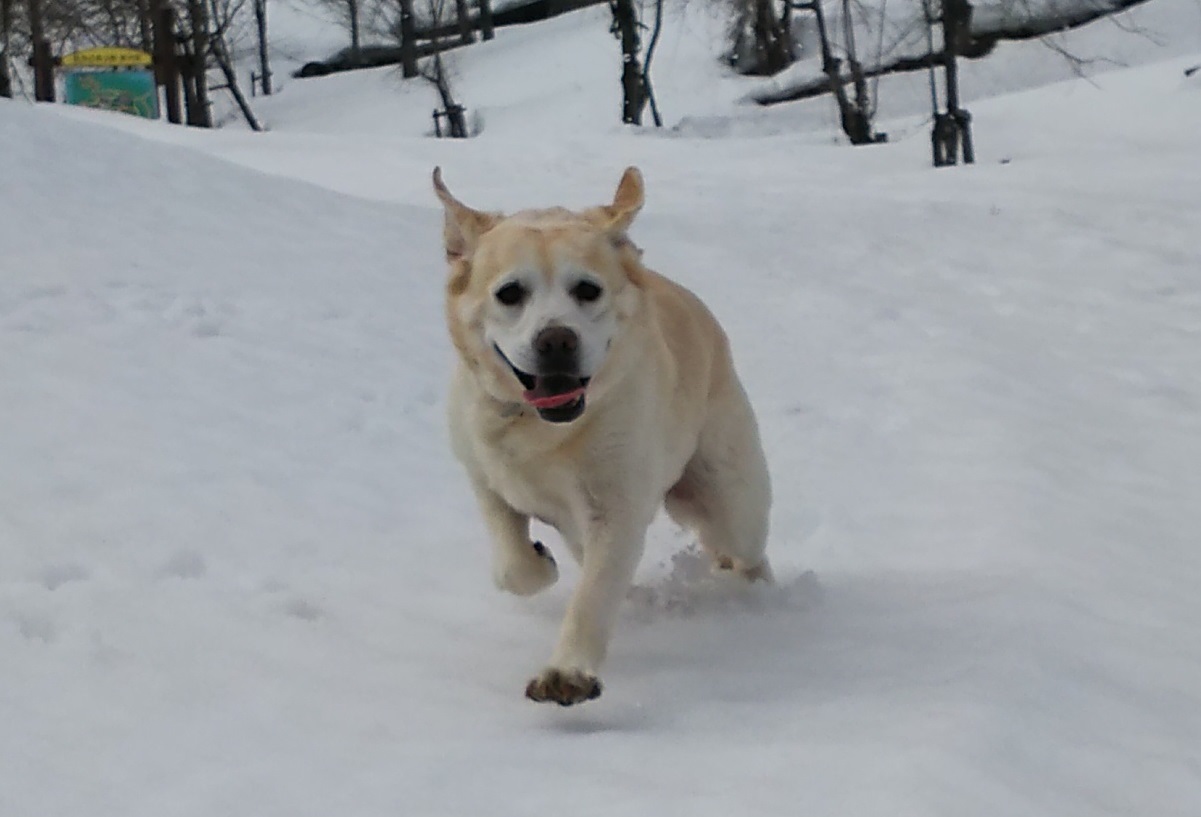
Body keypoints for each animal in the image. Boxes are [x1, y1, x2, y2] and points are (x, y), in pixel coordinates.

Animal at [432, 164, 768, 701]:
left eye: (587, 289)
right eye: (510, 292)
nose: (556, 340)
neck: (542, 429)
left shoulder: (618, 510)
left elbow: (593, 596)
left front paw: (566, 673)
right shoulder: (486, 478)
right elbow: (513, 565)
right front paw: (537, 559)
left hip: (732, 497)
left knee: (744, 550)